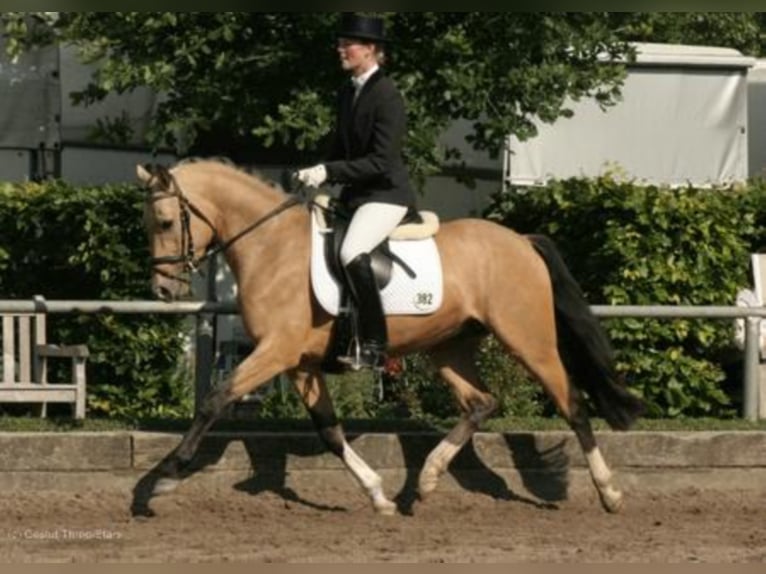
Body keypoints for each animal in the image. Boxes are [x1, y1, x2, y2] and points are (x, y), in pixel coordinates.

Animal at [137, 159, 644, 515]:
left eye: (164, 222)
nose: (163, 291)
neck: (270, 246)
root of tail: (522, 241)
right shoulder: (299, 362)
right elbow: (329, 430)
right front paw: (377, 494)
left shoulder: (275, 352)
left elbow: (214, 399)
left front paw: (164, 478)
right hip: (449, 346)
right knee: (481, 402)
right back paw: (426, 482)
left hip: (527, 338)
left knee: (571, 402)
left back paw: (611, 493)